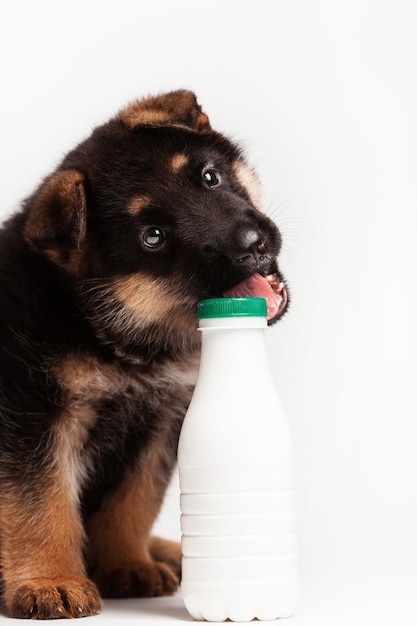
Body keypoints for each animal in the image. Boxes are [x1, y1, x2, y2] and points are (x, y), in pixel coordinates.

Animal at [0, 90, 286, 616]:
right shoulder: (31, 416)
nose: (253, 246)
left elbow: (133, 503)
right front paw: (52, 581)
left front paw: (127, 564)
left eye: (210, 177)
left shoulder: (156, 423)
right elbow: (40, 505)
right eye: (153, 236)